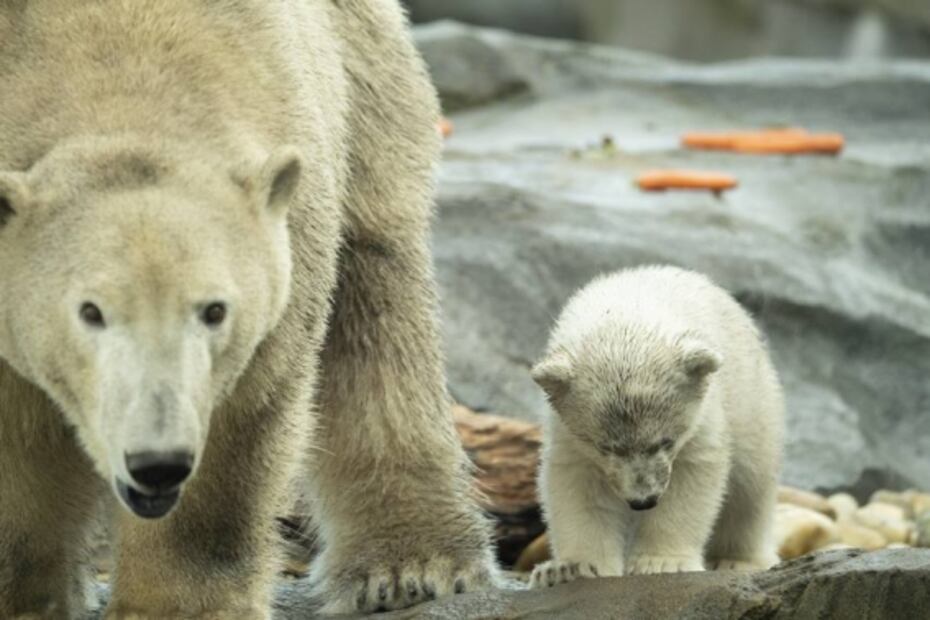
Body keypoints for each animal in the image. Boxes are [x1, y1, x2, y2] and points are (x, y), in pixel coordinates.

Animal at [0, 1, 497, 618]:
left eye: (215, 310)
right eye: (89, 312)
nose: (155, 461)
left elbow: (237, 425)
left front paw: (176, 605)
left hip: (365, 79)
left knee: (375, 295)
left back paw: (412, 563)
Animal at [528, 266, 784, 587]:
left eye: (666, 441)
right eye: (606, 447)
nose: (644, 500)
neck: (629, 309)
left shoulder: (703, 415)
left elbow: (692, 476)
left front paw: (662, 562)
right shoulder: (567, 433)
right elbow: (579, 486)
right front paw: (568, 569)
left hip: (753, 399)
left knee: (750, 485)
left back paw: (736, 560)